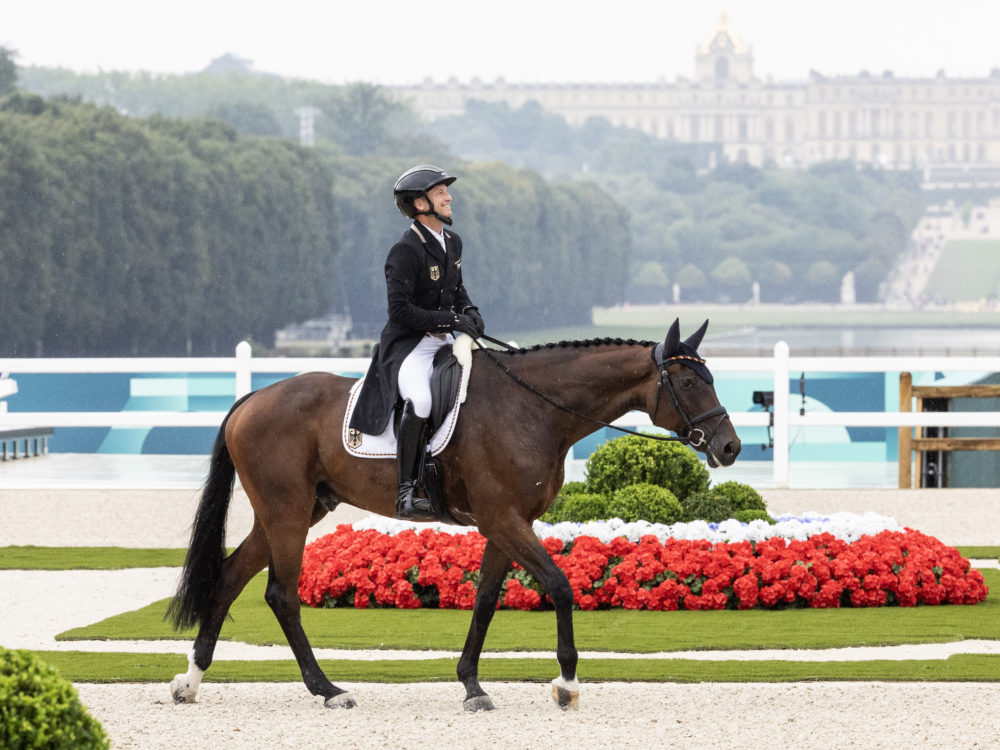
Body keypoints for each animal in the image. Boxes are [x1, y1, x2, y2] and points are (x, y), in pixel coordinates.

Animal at [168, 318, 740, 712]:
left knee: (231, 577)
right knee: (281, 595)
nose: (730, 447)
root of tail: (252, 398)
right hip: (286, 511)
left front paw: (471, 684)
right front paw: (566, 684)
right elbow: (559, 585)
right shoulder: (504, 520)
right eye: (690, 384)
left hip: (297, 510)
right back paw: (327, 689)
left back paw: (191, 681)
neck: (533, 409)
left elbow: (485, 600)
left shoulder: (506, 524)